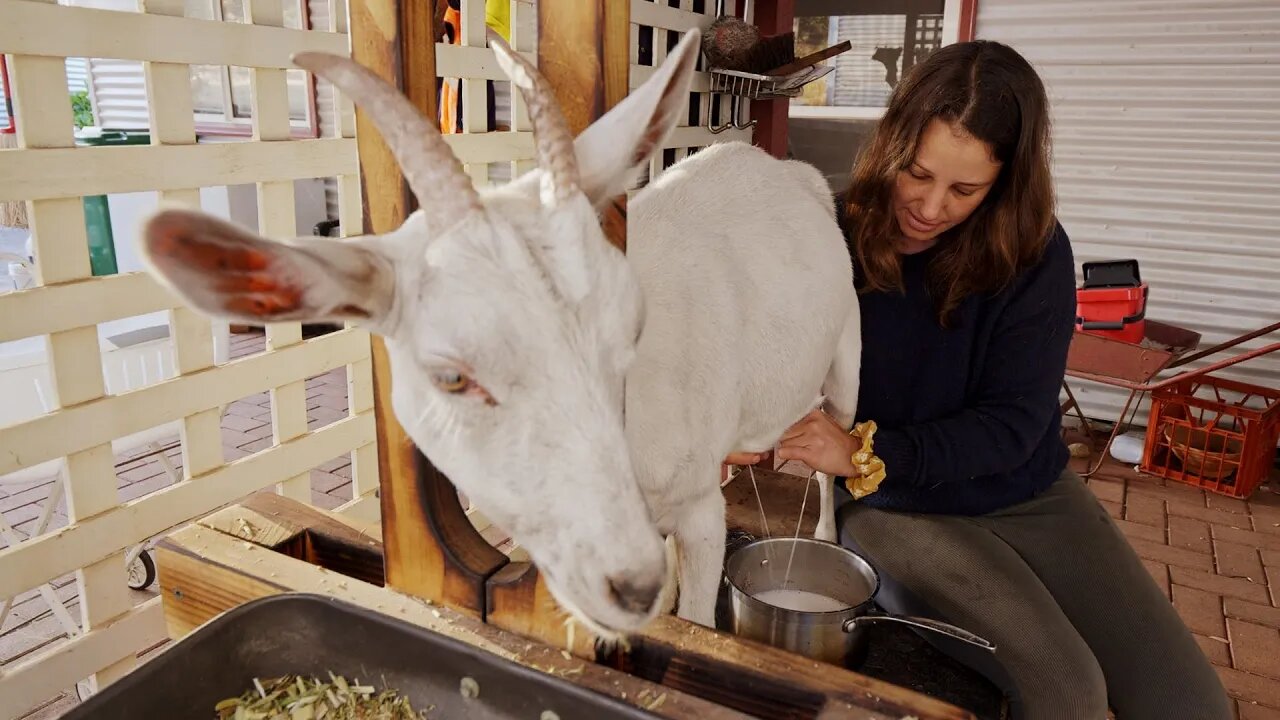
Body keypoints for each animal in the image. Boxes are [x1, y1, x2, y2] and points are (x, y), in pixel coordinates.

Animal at [137, 29, 860, 632]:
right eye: (451, 376)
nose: (629, 585)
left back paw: (827, 532)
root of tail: (792, 174)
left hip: (846, 358)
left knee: (839, 444)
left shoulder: (698, 512)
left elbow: (700, 614)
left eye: (633, 326)